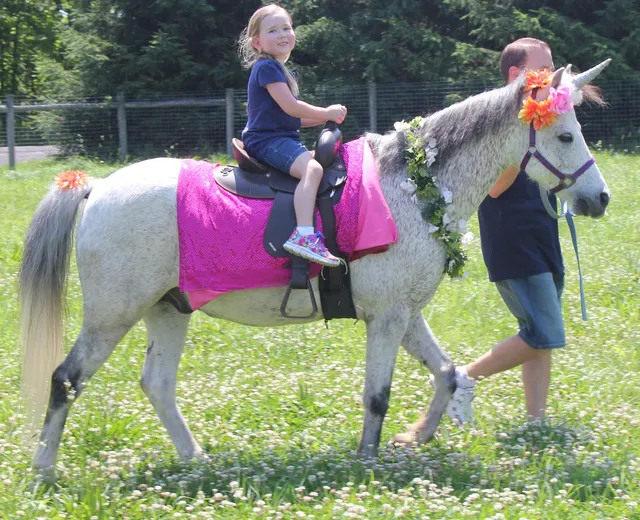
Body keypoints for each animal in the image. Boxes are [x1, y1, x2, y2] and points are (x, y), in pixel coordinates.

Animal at [20, 61, 611, 475]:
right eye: (564, 135)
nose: (600, 198)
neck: (412, 185)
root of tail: (96, 187)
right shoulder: (387, 319)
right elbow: (377, 396)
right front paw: (368, 464)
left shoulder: (405, 314)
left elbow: (446, 374)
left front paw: (414, 438)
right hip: (112, 315)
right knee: (65, 380)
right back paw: (45, 468)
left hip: (168, 309)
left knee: (157, 384)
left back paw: (196, 463)